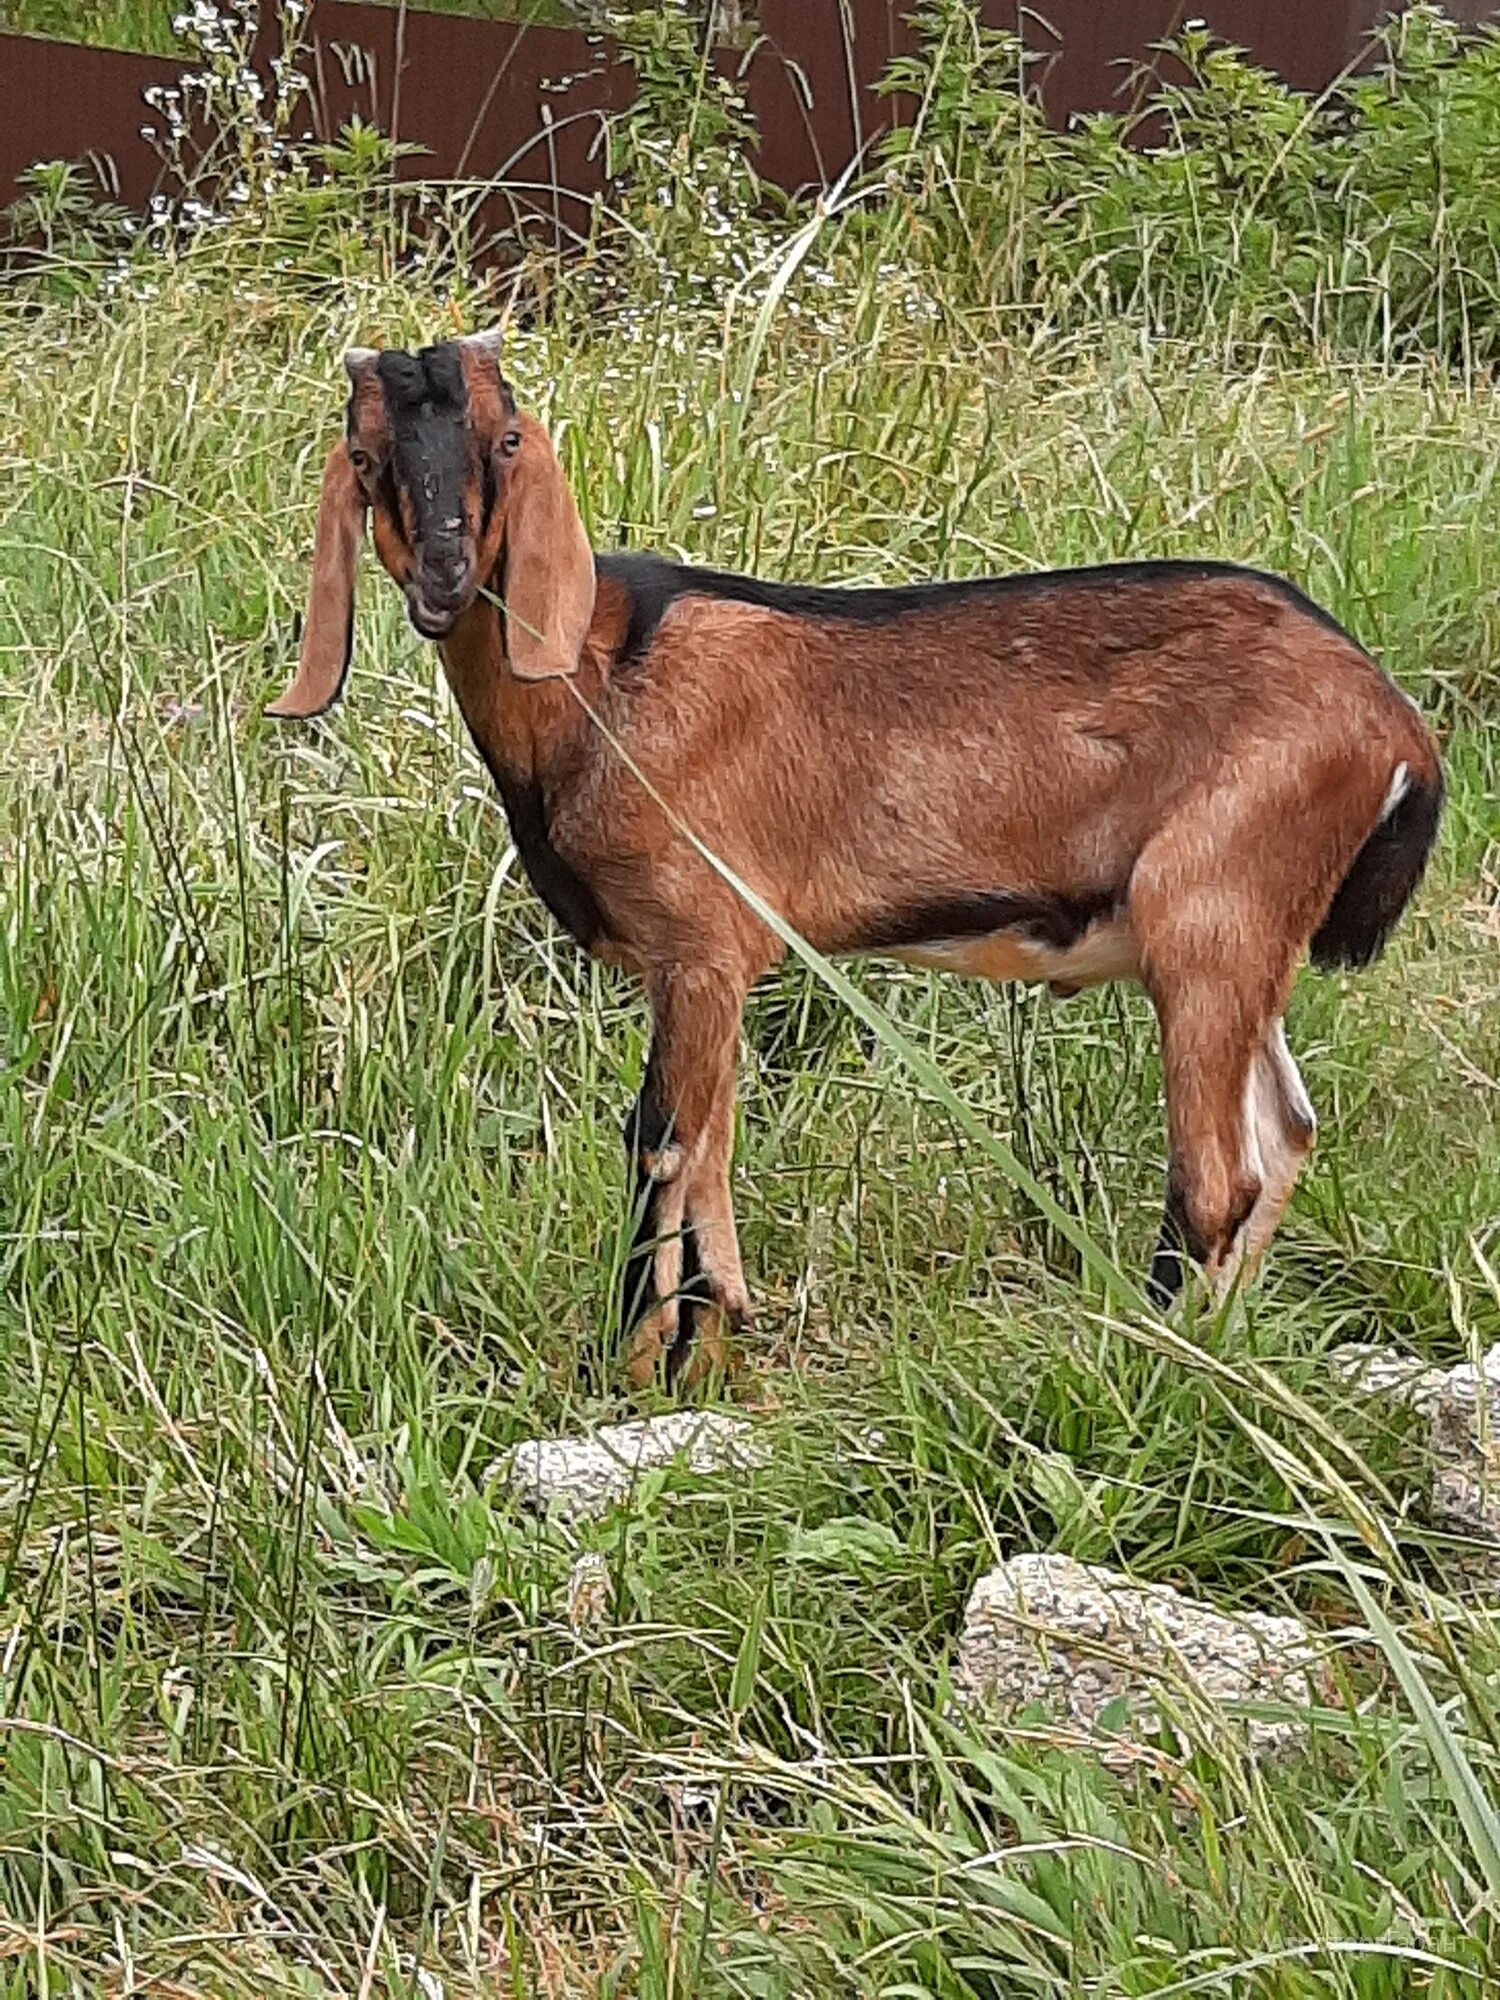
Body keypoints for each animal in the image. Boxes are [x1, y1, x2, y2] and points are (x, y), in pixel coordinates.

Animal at [268, 332, 1448, 1392]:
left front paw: (633, 1373)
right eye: (365, 453)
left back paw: (1146, 1359)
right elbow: (710, 1149)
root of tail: (1396, 726)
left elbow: (664, 1143)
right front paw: (700, 1354)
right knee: (1284, 1131)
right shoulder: (710, 969)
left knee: (1215, 1175)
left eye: (505, 438)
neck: (599, 683)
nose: (446, 575)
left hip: (1206, 910)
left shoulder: (702, 944)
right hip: (1248, 937)